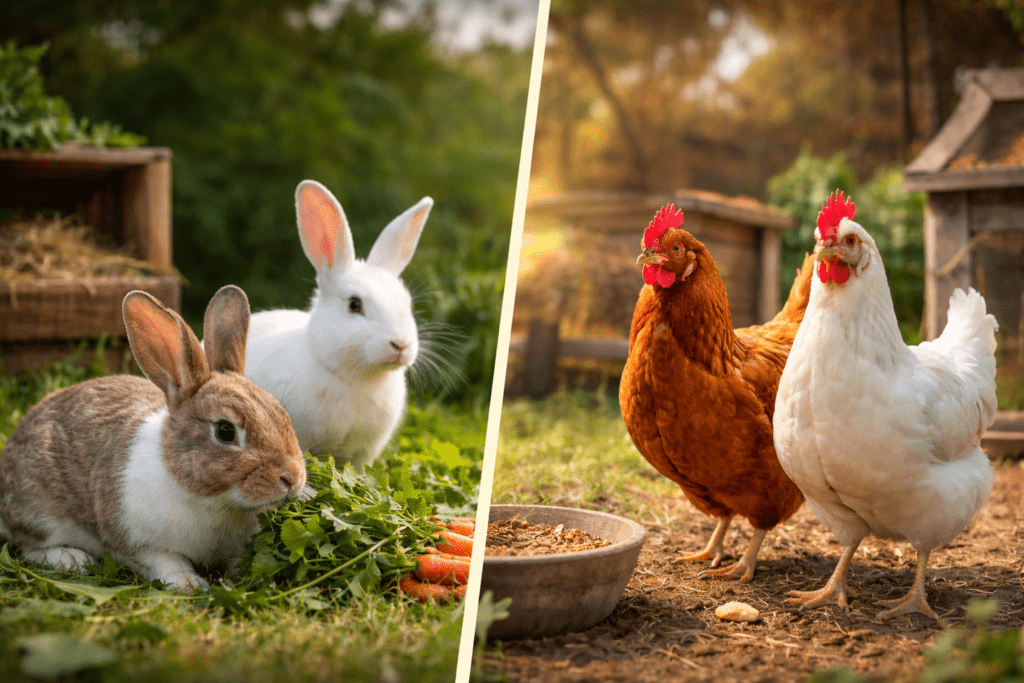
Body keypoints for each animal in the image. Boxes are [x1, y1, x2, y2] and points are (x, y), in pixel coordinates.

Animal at [0, 285, 307, 593]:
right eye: (225, 431)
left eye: (280, 411)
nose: (292, 478)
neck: (213, 500)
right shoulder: (139, 544)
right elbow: (166, 562)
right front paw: (190, 583)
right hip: (41, 514)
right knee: (27, 546)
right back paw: (73, 559)